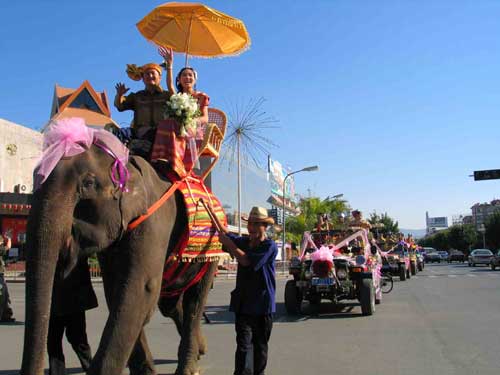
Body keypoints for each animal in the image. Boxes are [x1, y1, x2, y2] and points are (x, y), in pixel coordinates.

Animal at [20, 145, 218, 375]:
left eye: (88, 184)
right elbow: (116, 291)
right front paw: (146, 371)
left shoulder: (155, 223)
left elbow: (141, 290)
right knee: (170, 305)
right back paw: (201, 348)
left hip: (211, 251)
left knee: (195, 302)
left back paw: (189, 366)